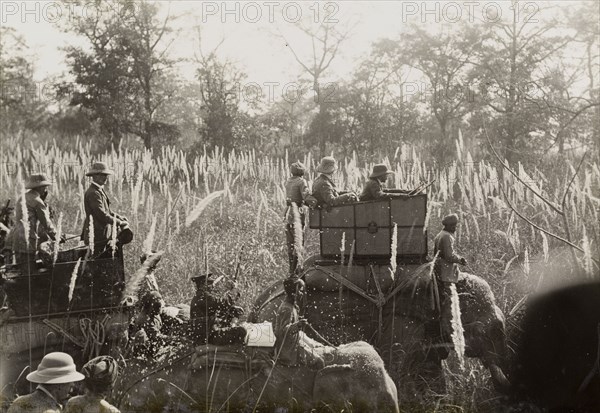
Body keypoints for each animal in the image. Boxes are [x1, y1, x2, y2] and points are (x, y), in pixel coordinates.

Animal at [248, 256, 510, 398]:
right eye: (486, 330)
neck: (441, 284)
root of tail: (256, 307)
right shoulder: (403, 325)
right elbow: (397, 365)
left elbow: (431, 370)